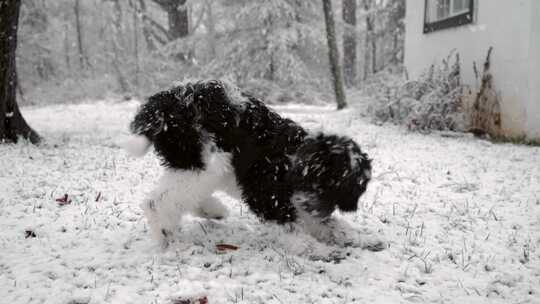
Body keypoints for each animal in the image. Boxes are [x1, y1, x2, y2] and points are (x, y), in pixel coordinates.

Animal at [124, 80, 382, 249]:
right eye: (323, 182)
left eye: (341, 189)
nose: (316, 208)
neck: (291, 157)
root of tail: (166, 102)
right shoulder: (267, 194)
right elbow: (288, 223)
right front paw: (311, 248)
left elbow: (320, 221)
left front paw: (356, 237)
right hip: (203, 160)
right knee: (158, 201)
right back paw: (165, 234)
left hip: (201, 163)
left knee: (184, 195)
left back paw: (212, 210)